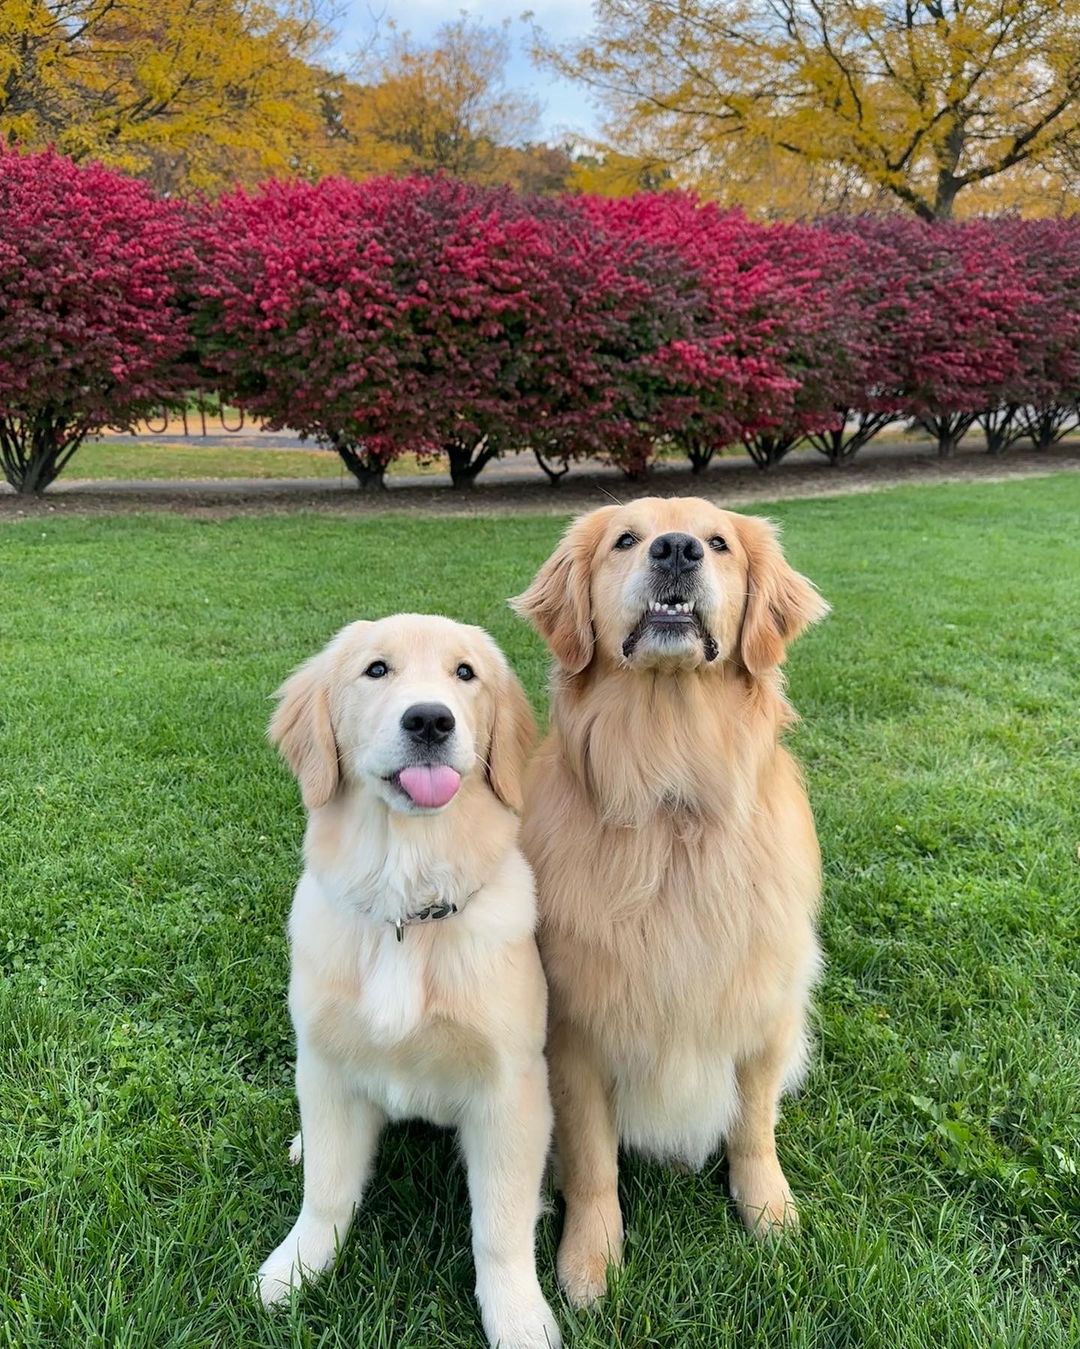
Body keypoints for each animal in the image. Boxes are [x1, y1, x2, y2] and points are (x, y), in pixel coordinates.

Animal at [260, 615, 560, 1349]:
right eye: (376, 670)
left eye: (465, 673)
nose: (429, 720)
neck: (405, 908)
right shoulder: (326, 1064)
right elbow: (328, 1188)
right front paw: (297, 1264)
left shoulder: (511, 1088)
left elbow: (499, 1225)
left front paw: (518, 1315)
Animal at [512, 499, 825, 1305]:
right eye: (626, 539)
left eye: (719, 542)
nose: (678, 550)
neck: (673, 794)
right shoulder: (577, 1034)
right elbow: (594, 1162)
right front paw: (591, 1259)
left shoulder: (762, 1008)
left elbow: (753, 1126)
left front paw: (769, 1212)